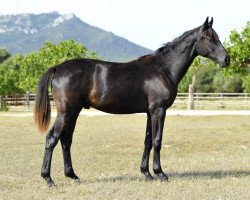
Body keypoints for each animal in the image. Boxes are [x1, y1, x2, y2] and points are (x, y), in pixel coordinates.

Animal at [34, 17, 229, 186]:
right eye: (209, 37)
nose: (226, 59)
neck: (163, 68)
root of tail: (57, 68)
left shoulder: (150, 112)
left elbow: (148, 141)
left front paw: (147, 173)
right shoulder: (159, 110)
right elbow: (157, 140)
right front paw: (160, 173)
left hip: (74, 112)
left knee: (66, 140)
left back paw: (72, 175)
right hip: (66, 112)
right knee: (52, 138)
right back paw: (48, 179)